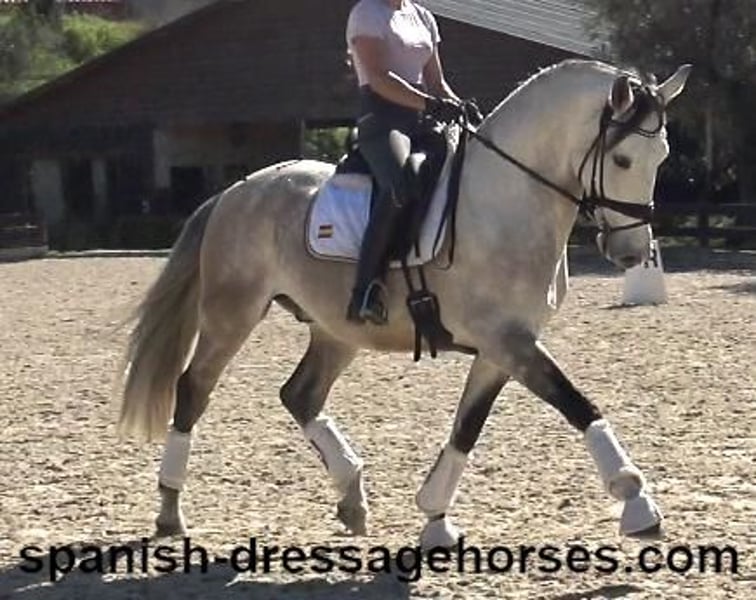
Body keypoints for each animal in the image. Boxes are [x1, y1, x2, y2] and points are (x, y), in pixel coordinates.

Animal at [118, 59, 691, 549]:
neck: (508, 200)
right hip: (231, 315)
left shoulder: (501, 348)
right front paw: (637, 503)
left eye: (660, 157)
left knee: (300, 395)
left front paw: (435, 519)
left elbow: (466, 428)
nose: (633, 253)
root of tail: (235, 190)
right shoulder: (509, 340)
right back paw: (169, 510)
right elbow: (578, 404)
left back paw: (352, 497)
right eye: (621, 159)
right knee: (193, 390)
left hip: (337, 330)